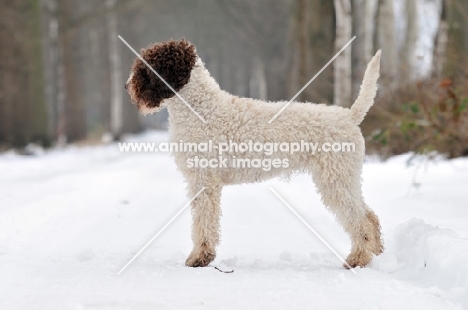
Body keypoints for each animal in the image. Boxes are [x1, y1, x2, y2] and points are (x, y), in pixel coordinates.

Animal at [124, 39, 384, 268]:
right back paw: (376, 249)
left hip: (335, 178)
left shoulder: (204, 180)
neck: (200, 110)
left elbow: (203, 221)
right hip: (344, 177)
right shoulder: (202, 180)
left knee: (360, 219)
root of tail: (349, 116)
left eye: (146, 67)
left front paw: (199, 258)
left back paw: (358, 258)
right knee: (370, 215)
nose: (127, 87)